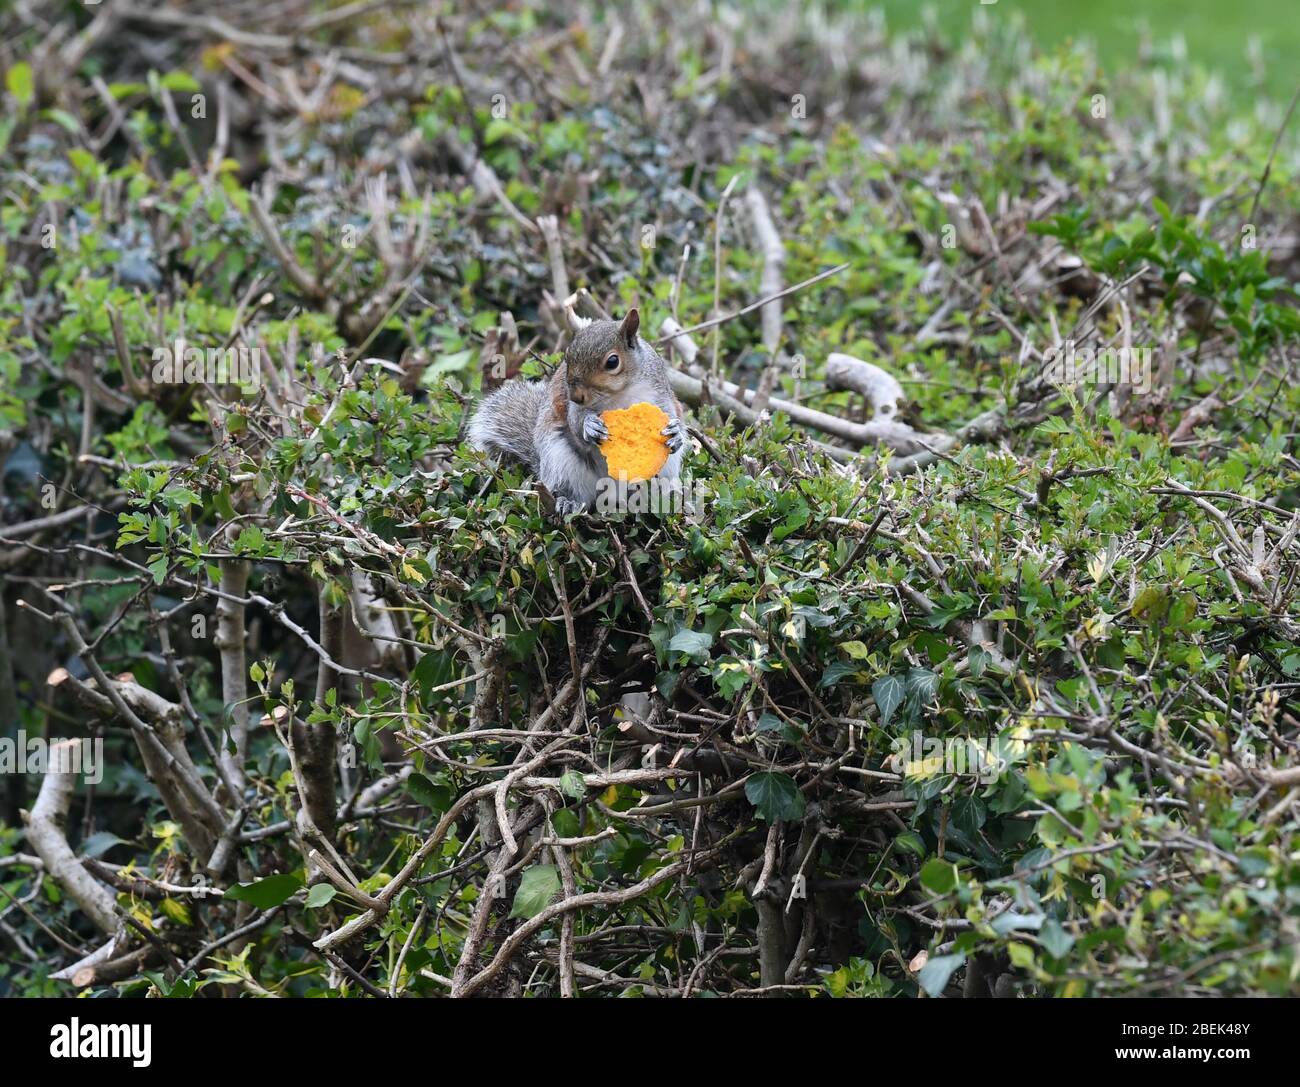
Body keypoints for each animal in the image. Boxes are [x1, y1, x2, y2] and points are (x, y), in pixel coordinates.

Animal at [467, 309, 685, 513]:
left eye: (612, 362)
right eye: (567, 356)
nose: (576, 396)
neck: (618, 394)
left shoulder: (658, 394)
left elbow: (672, 413)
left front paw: (676, 433)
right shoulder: (574, 409)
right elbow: (575, 422)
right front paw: (590, 427)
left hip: (666, 466)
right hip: (561, 461)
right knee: (570, 490)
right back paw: (568, 502)